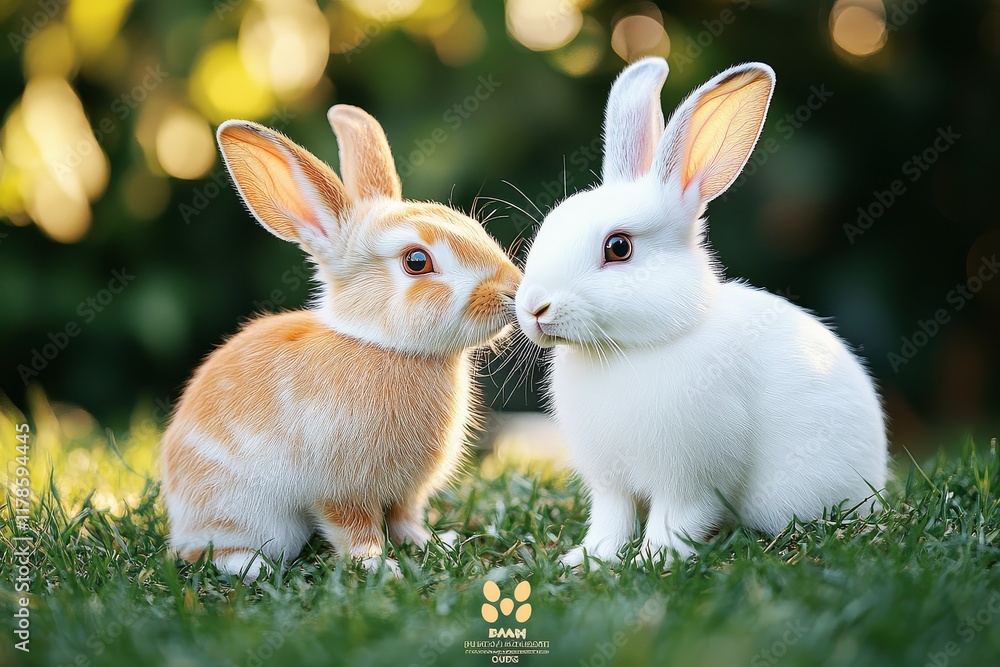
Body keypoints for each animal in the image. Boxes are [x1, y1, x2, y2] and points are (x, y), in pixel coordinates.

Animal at [160, 105, 521, 580]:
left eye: (473, 226)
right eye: (417, 261)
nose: (513, 291)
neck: (382, 345)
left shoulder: (405, 490)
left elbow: (404, 518)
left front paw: (431, 545)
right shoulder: (340, 489)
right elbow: (355, 531)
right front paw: (379, 567)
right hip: (243, 513)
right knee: (208, 552)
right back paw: (252, 566)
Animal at [514, 58, 888, 568]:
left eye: (618, 248)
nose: (534, 307)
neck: (633, 348)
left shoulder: (690, 480)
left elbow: (676, 519)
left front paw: (653, 560)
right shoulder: (610, 484)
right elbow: (612, 520)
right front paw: (587, 559)